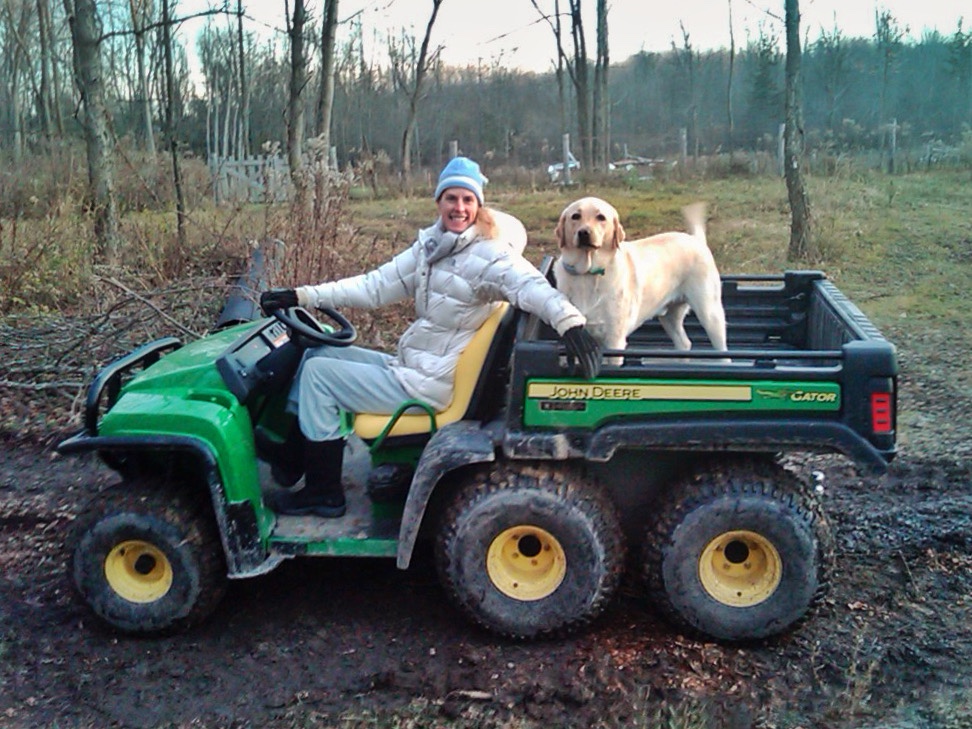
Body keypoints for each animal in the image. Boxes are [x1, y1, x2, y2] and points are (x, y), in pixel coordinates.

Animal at [556, 196, 728, 358]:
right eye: (575, 216)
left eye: (601, 217)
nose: (584, 232)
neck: (587, 273)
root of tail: (696, 240)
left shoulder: (614, 340)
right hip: (670, 317)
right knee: (684, 343)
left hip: (710, 314)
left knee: (722, 351)